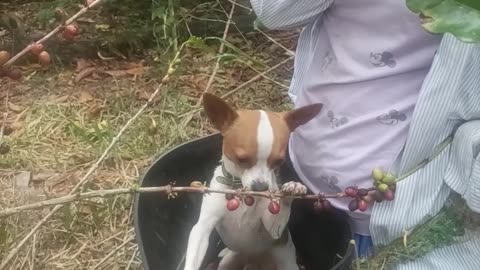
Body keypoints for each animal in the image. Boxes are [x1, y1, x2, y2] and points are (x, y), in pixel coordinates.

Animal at [184, 93, 322, 270]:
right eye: (241, 160)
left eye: (279, 161)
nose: (261, 187)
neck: (241, 193)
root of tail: (254, 263)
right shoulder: (202, 228)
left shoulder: (275, 228)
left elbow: (277, 220)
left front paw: (292, 189)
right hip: (228, 261)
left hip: (286, 262)